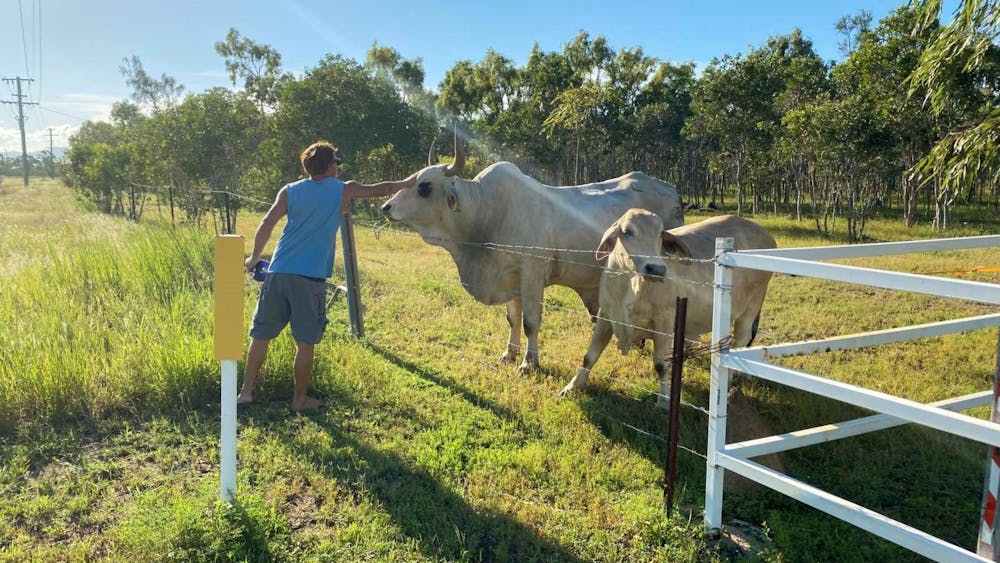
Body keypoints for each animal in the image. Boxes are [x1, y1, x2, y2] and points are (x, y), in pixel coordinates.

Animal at [378, 148, 684, 372]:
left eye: (425, 186)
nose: (385, 207)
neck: (487, 214)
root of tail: (671, 189)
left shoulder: (532, 274)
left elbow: (530, 323)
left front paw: (528, 363)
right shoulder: (510, 277)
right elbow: (512, 319)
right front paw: (508, 354)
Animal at [560, 209, 776, 404]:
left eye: (660, 233)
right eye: (627, 231)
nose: (656, 269)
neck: (629, 285)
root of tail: (765, 235)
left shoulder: (663, 323)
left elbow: (660, 365)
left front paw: (663, 400)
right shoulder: (606, 316)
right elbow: (589, 356)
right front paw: (573, 386)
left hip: (751, 306)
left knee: (740, 340)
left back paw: (730, 378)